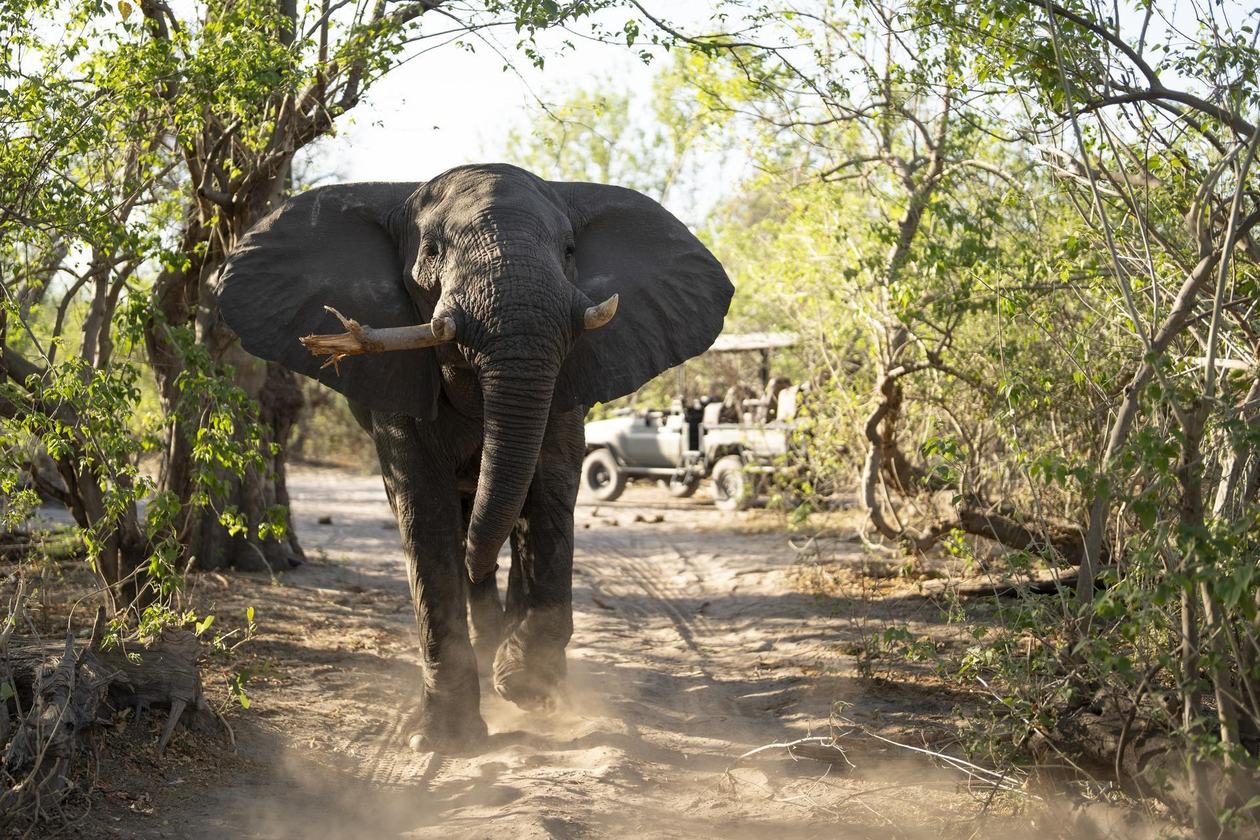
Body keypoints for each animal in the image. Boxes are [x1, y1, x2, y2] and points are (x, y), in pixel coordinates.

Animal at [217, 163, 732, 752]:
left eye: (570, 250)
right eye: (433, 250)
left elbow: (550, 488)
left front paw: (524, 685)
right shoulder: (396, 388)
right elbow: (424, 510)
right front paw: (444, 739)